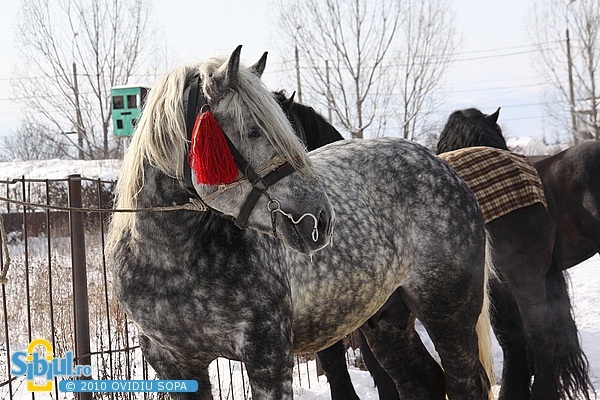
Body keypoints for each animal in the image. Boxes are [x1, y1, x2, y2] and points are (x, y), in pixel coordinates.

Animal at [108, 47, 492, 400]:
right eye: (252, 131)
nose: (320, 219)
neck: (172, 261)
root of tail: (443, 167)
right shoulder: (174, 363)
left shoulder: (269, 354)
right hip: (386, 320)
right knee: (421, 381)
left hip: (448, 313)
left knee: (464, 382)